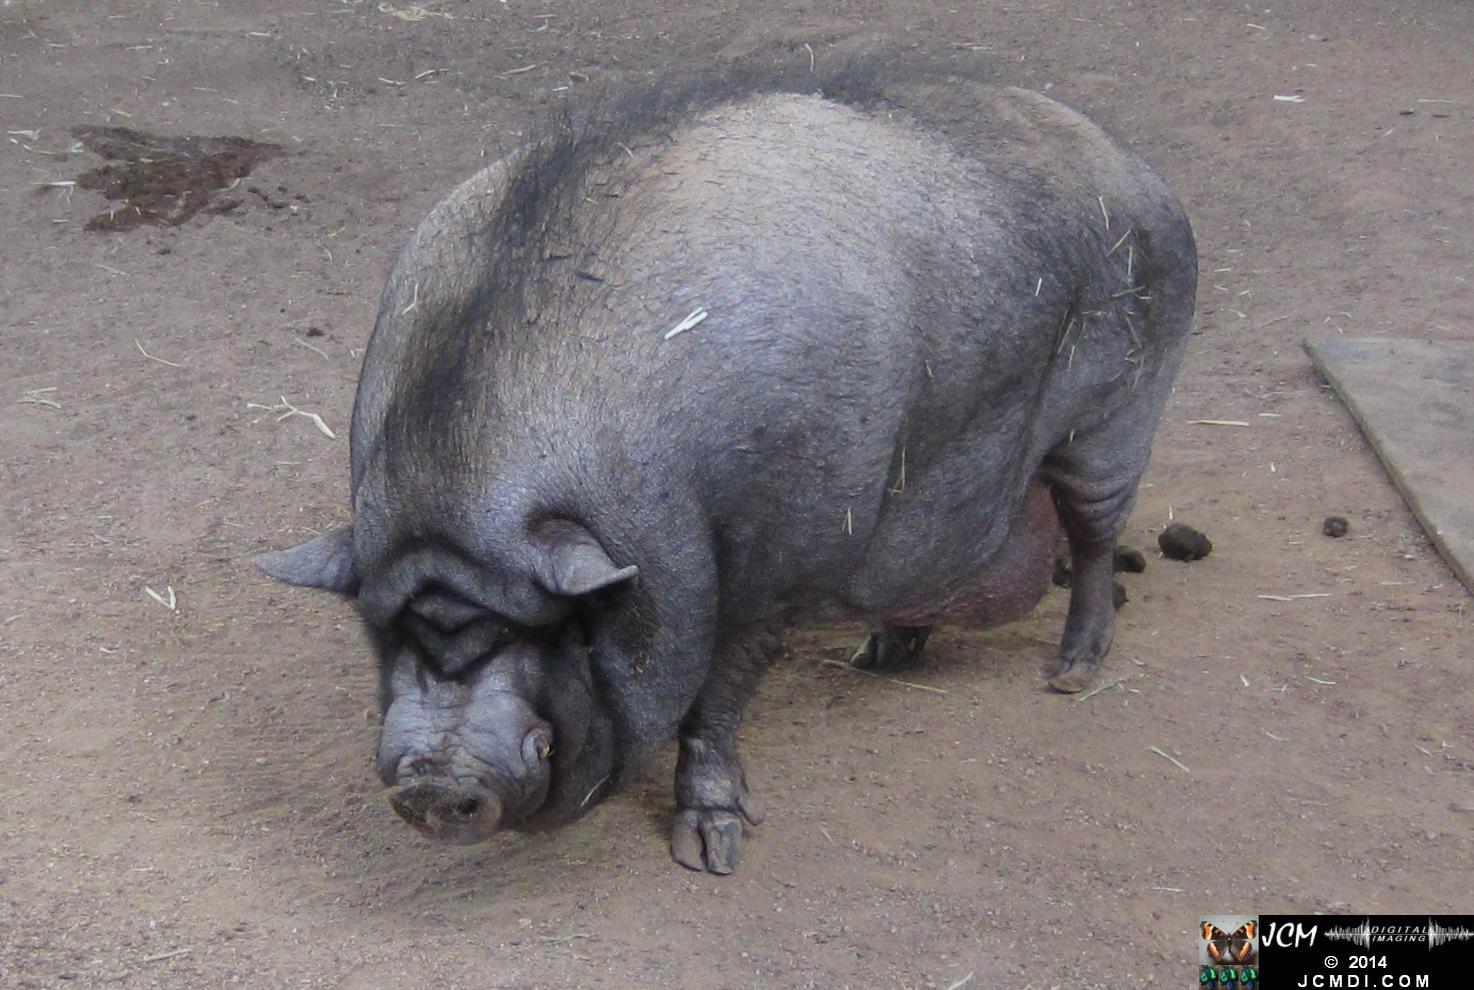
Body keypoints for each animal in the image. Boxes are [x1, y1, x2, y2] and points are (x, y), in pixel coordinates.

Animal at [256, 65, 1197, 874]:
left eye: (545, 627)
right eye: (391, 628)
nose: (432, 782)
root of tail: (1138, 169)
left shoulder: (775, 563)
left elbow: (717, 699)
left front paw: (710, 853)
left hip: (1115, 418)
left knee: (1096, 538)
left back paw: (1070, 674)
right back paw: (878, 655)